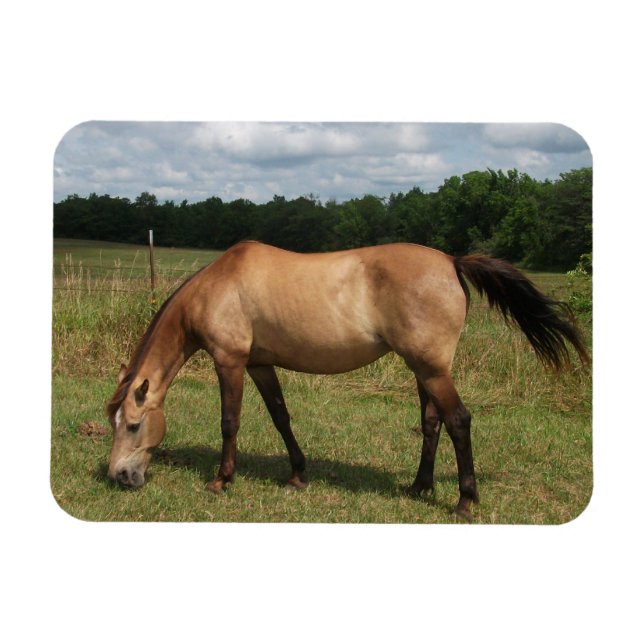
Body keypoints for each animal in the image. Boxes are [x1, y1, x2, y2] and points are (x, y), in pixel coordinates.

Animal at [106, 241, 588, 520]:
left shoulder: (230, 362)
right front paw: (297, 473)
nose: (119, 476)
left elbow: (229, 423)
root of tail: (452, 262)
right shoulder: (260, 365)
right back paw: (419, 487)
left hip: (433, 370)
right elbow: (281, 417)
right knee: (431, 422)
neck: (218, 286)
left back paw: (464, 501)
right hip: (422, 369)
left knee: (458, 421)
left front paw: (221, 480)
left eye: (133, 425)